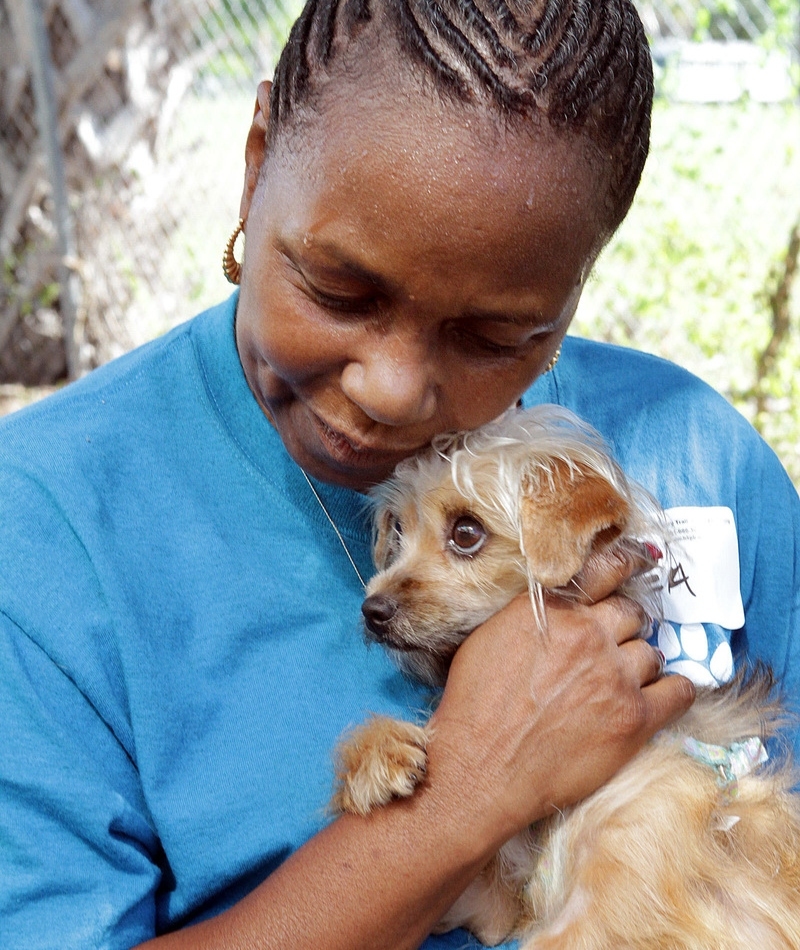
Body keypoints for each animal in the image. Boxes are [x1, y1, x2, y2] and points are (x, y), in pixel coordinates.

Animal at [330, 408, 800, 950]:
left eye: (466, 532)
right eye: (398, 532)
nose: (372, 610)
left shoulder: (610, 900)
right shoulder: (493, 906)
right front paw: (374, 754)